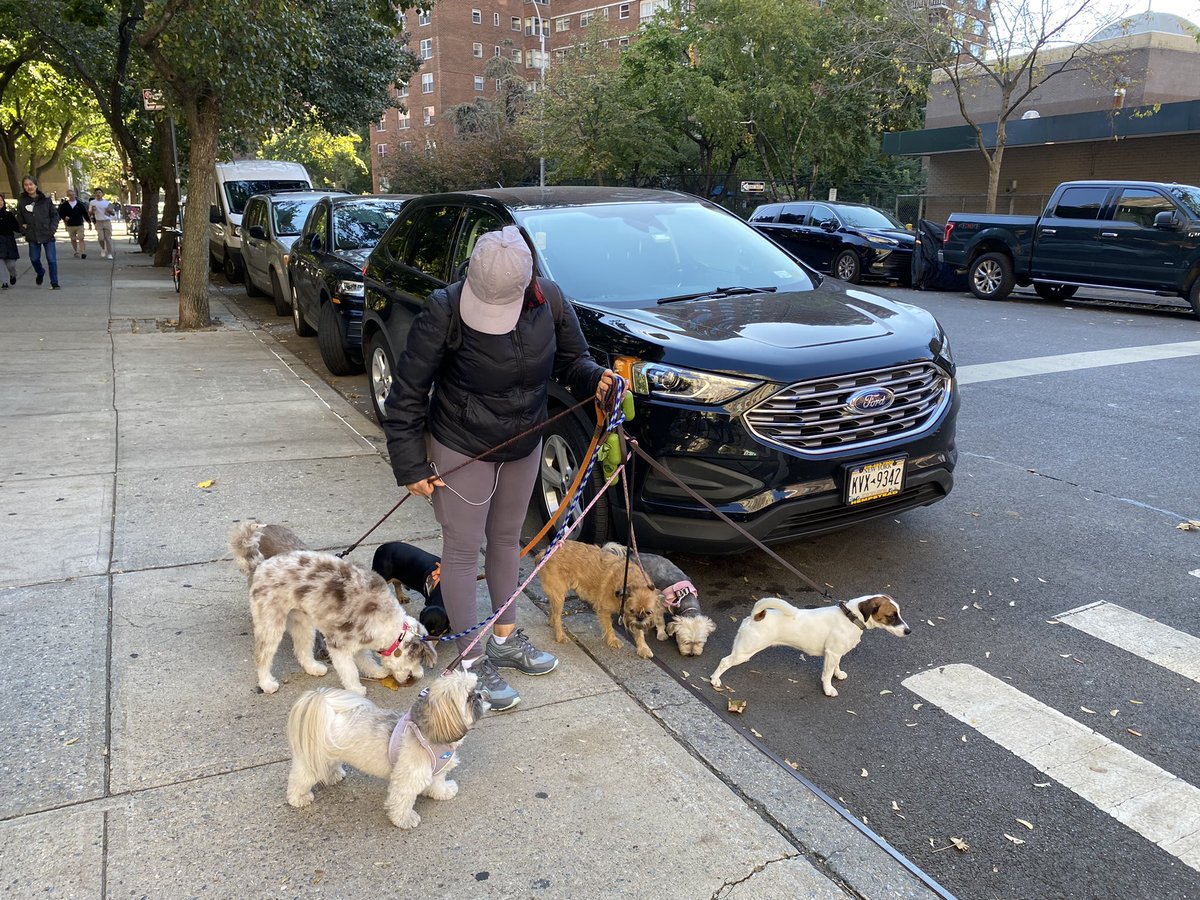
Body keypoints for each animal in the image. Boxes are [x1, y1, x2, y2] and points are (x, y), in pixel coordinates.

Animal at [285, 672, 487, 830]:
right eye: (468, 698)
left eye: (475, 687)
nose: (479, 694)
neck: (429, 733)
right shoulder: (408, 779)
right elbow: (402, 802)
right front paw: (405, 819)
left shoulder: (436, 770)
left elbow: (438, 783)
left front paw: (443, 792)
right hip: (310, 763)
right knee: (300, 779)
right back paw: (299, 797)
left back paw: (333, 775)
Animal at [710, 595, 907, 700]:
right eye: (891, 616)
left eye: (899, 613)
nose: (909, 631)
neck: (851, 617)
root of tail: (756, 616)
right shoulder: (831, 653)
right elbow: (826, 675)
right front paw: (828, 689)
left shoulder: (836, 653)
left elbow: (836, 666)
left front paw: (838, 674)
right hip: (744, 652)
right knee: (724, 661)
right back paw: (715, 680)